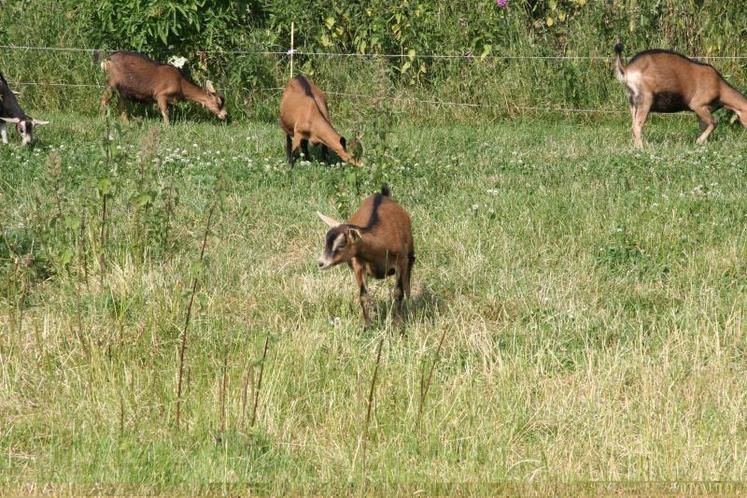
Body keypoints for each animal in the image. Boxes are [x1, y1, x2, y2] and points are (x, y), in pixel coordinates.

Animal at [99, 51, 228, 124]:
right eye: (218, 103)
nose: (225, 115)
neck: (180, 83)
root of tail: (106, 60)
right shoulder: (161, 95)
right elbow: (165, 112)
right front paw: (167, 127)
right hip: (112, 83)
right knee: (104, 99)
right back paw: (102, 119)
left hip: (122, 90)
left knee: (121, 106)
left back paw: (126, 123)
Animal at [318, 185, 414, 328]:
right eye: (326, 242)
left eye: (341, 244)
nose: (321, 263)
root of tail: (381, 195)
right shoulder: (358, 266)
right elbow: (363, 295)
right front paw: (367, 325)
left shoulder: (401, 261)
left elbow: (398, 292)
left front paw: (398, 324)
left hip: (410, 256)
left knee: (407, 284)